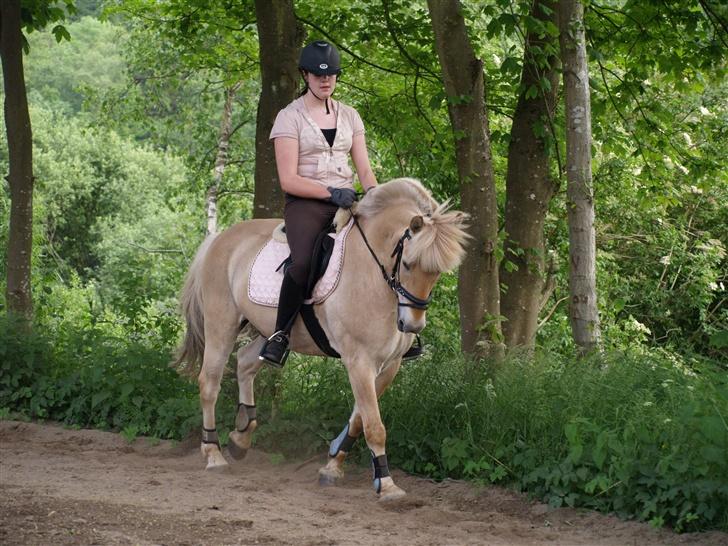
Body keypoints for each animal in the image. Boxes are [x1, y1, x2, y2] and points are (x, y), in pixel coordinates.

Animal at [174, 176, 470, 500]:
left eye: (437, 274)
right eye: (407, 264)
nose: (411, 325)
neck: (373, 273)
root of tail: (219, 239)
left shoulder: (389, 365)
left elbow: (359, 419)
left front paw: (332, 466)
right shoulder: (359, 360)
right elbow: (374, 424)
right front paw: (387, 484)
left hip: (269, 331)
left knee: (245, 362)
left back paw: (241, 436)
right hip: (221, 324)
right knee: (209, 382)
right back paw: (214, 454)